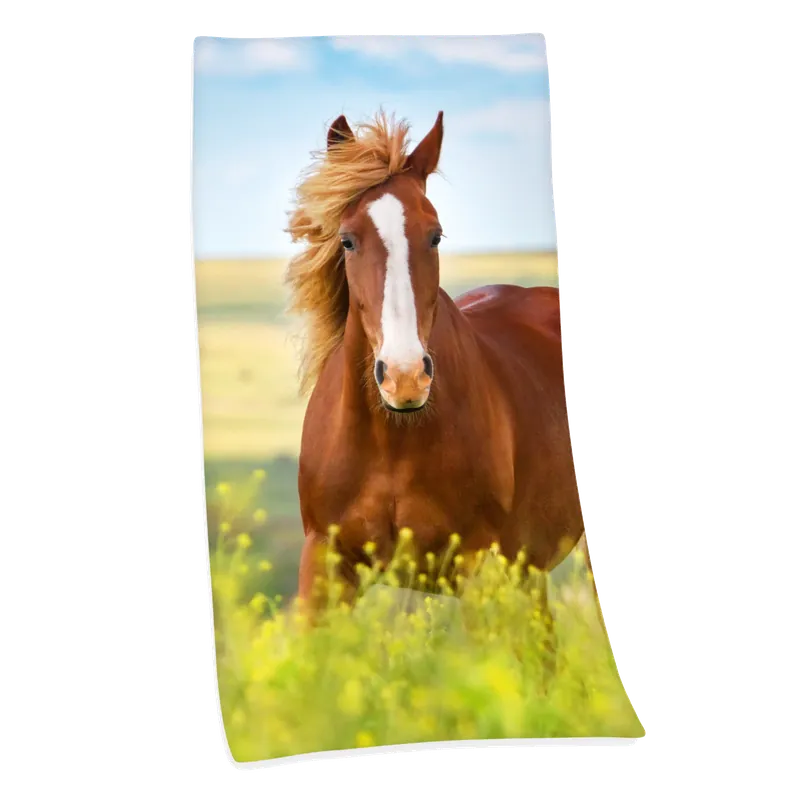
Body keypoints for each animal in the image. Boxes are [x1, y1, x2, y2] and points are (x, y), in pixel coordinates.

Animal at [284, 110, 589, 638]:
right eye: (347, 240)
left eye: (435, 235)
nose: (405, 378)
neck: (392, 440)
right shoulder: (323, 564)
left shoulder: (478, 569)